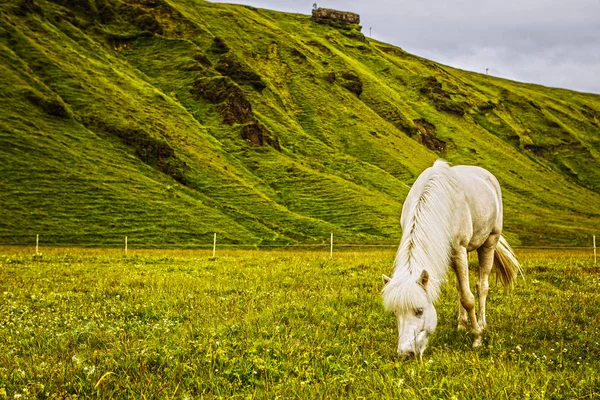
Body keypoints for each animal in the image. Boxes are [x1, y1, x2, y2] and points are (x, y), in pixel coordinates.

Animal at [384, 161, 520, 358]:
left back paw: (482, 323)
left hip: (489, 241)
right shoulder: (453, 254)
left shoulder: (459, 251)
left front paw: (477, 337)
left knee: (482, 286)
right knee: (460, 287)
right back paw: (461, 324)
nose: (405, 353)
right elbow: (462, 292)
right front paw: (466, 327)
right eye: (395, 313)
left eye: (420, 310)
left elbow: (468, 298)